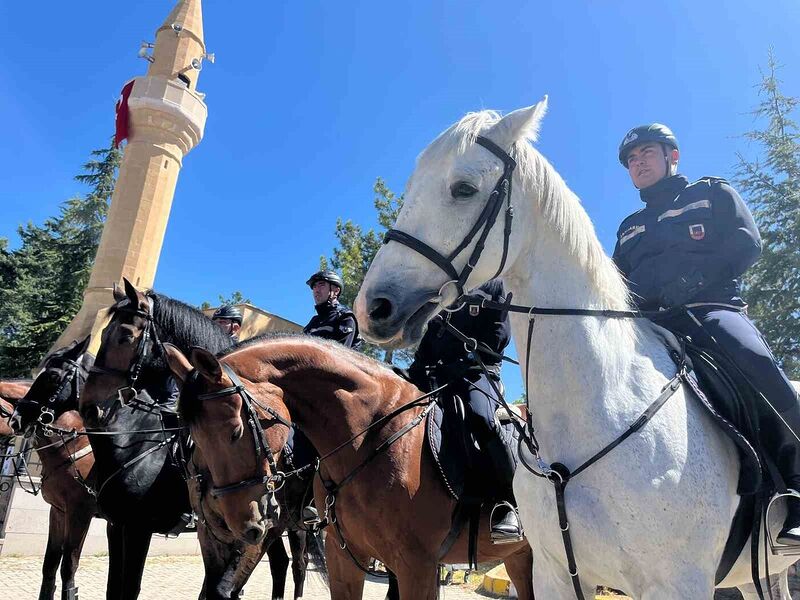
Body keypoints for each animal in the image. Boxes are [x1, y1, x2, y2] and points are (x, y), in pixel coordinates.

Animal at [165, 336, 536, 596]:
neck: (369, 436)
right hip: (521, 555)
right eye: (193, 438)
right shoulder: (344, 558)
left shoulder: (417, 565)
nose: (242, 524)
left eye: (235, 432)